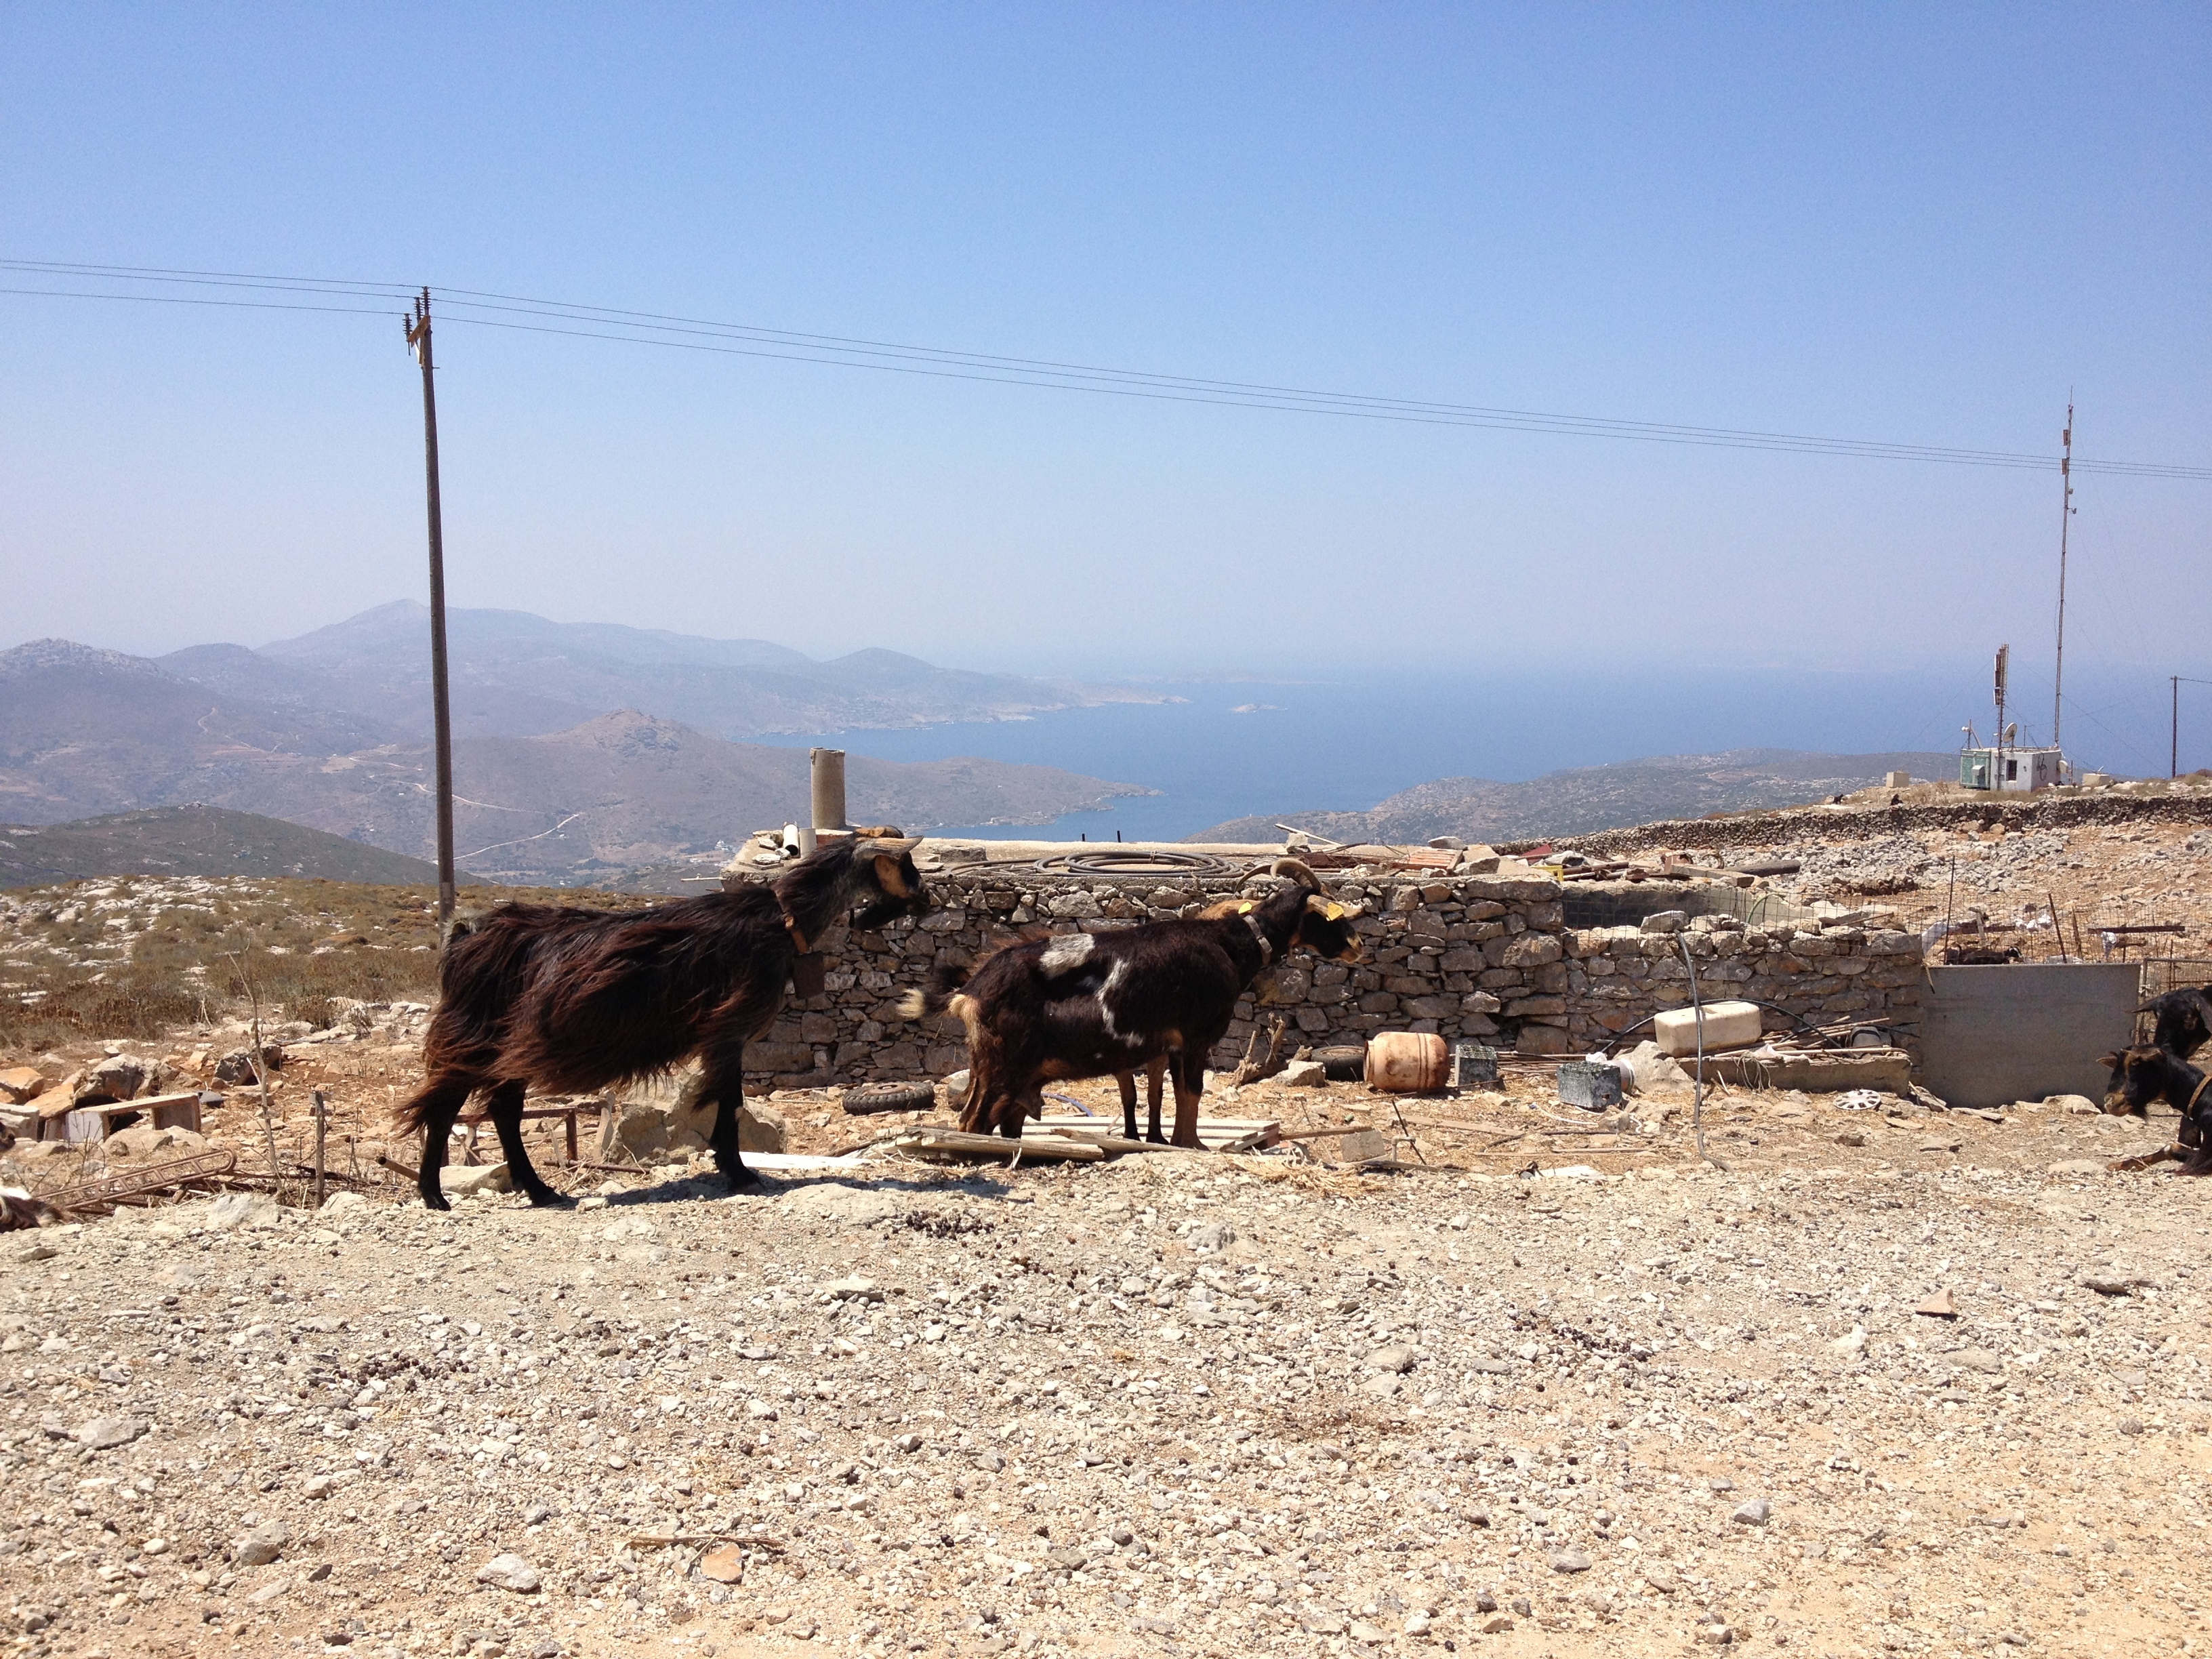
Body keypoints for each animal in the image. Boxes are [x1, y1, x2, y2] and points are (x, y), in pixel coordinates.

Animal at [393, 836, 928, 1212]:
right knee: (449, 1107)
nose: (926, 899)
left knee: (499, 1109)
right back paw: (436, 1195)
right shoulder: (728, 1030)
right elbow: (729, 1101)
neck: (782, 920)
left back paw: (538, 1191)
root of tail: (466, 934)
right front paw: (740, 1173)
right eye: (906, 868)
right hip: (478, 1037)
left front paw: (732, 1167)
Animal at [893, 862, 1345, 1150]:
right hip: (1000, 1066)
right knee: (971, 1121)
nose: (1356, 947)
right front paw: (1194, 1145)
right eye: (1330, 917)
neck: (1230, 944)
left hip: (995, 1071)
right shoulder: (1195, 1036)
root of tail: (971, 990)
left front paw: (1167, 1142)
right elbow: (1192, 1093)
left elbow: (1166, 1094)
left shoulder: (1166, 1045)